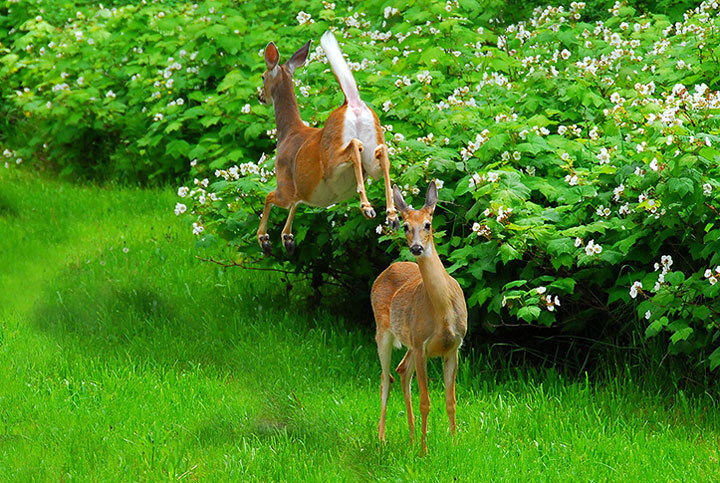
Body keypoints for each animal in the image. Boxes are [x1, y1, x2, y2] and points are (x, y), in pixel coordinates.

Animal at [256, 30, 400, 255]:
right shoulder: (302, 189)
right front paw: (287, 238)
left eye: (263, 76)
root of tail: (353, 103)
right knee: (382, 154)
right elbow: (297, 202)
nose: (260, 96)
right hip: (372, 152)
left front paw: (265, 239)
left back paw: (367, 207)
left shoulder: (285, 184)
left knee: (354, 147)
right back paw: (392, 216)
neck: (287, 133)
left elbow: (270, 197)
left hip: (331, 162)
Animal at [372, 181, 466, 454]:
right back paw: (383, 439)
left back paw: (412, 437)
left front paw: (454, 443)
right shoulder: (423, 346)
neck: (443, 313)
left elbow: (451, 400)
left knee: (402, 371)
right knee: (386, 378)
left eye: (428, 224)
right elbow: (426, 401)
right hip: (383, 332)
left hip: (410, 341)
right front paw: (425, 452)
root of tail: (388, 268)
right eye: (405, 226)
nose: (416, 248)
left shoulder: (454, 346)